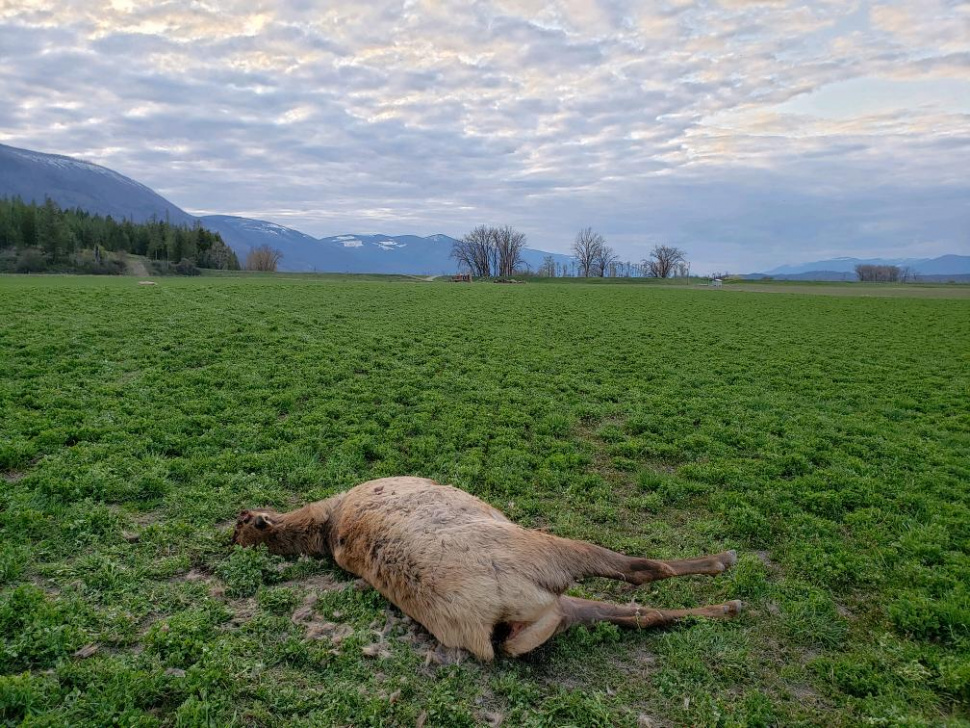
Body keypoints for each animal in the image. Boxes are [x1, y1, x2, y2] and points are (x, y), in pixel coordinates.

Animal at [232, 477, 742, 660]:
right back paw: (725, 568)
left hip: (555, 605)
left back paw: (726, 608)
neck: (327, 520)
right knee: (639, 570)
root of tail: (490, 617)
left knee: (638, 613)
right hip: (551, 556)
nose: (236, 529)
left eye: (239, 525)